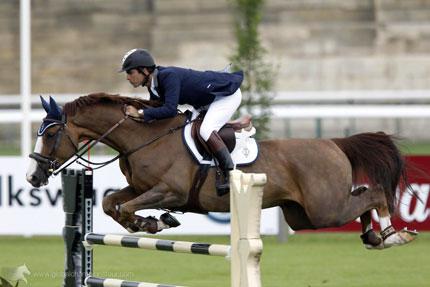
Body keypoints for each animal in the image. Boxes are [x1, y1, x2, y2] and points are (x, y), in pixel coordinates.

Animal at [26, 94, 416, 250]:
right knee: (361, 200)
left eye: (51, 134)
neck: (143, 138)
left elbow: (127, 207)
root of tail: (335, 142)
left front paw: (152, 223)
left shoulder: (170, 191)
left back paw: (392, 234)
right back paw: (374, 236)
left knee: (374, 195)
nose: (33, 178)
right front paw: (149, 223)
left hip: (324, 208)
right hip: (303, 214)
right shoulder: (138, 187)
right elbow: (112, 204)